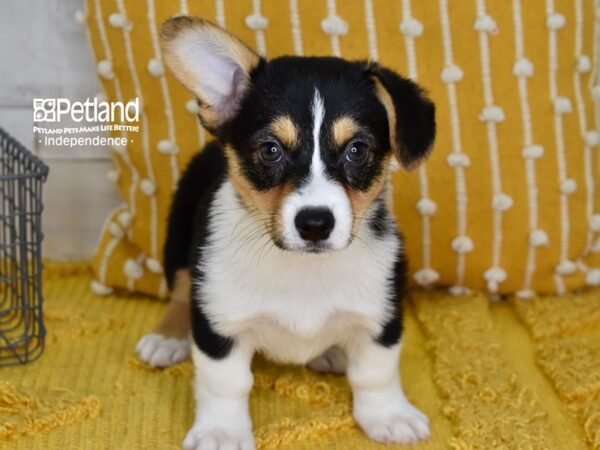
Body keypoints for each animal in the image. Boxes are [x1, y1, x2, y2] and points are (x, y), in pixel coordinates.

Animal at [136, 15, 436, 448]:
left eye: (357, 150)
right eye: (270, 150)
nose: (315, 223)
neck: (302, 270)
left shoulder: (382, 316)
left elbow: (375, 373)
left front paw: (389, 415)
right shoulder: (219, 324)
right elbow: (225, 383)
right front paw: (220, 432)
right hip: (177, 237)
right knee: (178, 290)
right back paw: (167, 338)